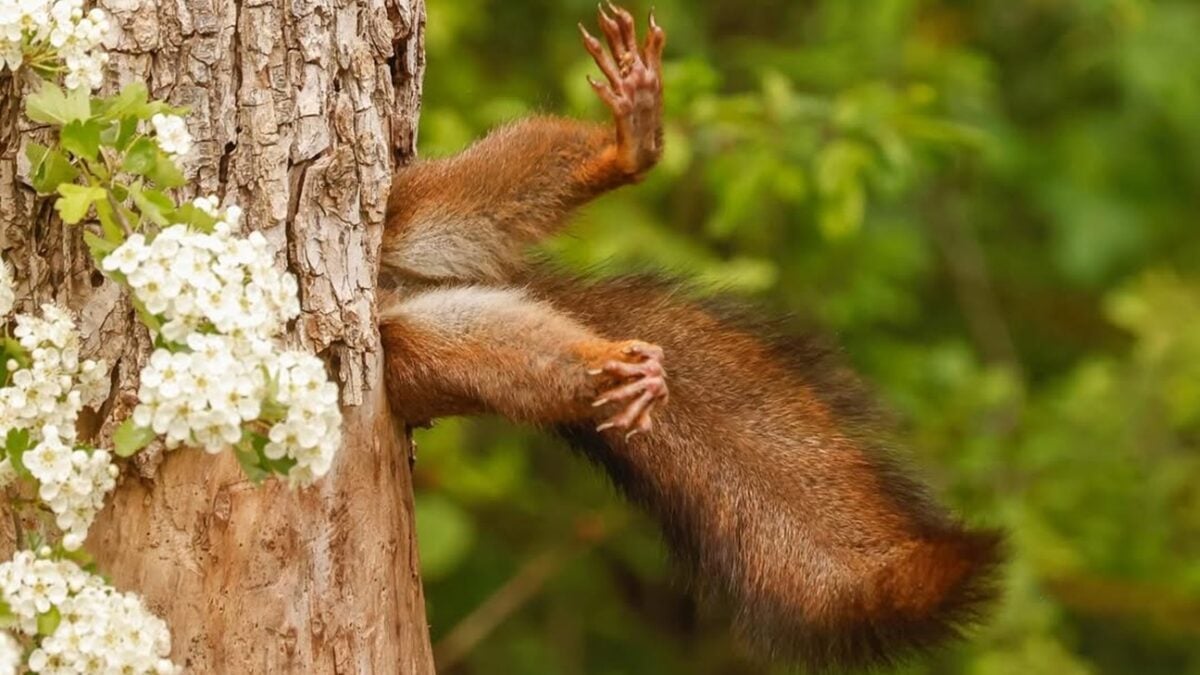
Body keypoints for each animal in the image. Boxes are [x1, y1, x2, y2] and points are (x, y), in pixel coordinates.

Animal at [381, 7, 1003, 667]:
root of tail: (397, 288)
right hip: (416, 352)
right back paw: (616, 368)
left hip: (410, 210)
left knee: (481, 192)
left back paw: (628, 148)